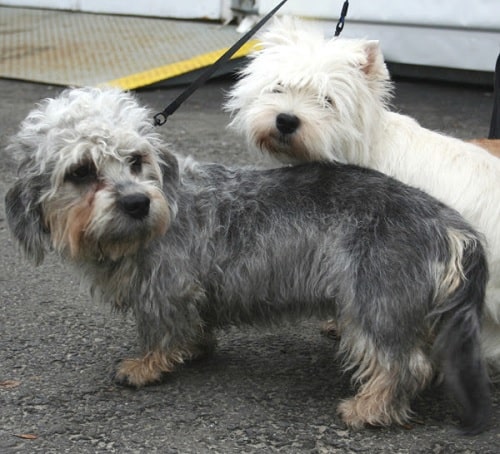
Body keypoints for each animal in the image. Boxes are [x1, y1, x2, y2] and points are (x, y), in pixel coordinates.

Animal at [5, 88, 492, 432]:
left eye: (136, 159)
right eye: (81, 171)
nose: (137, 203)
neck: (167, 203)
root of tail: (450, 224)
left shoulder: (165, 290)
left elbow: (160, 332)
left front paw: (145, 367)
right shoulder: (188, 293)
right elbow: (193, 327)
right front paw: (193, 350)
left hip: (376, 305)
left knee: (404, 364)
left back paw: (369, 408)